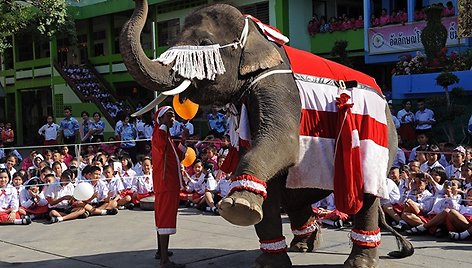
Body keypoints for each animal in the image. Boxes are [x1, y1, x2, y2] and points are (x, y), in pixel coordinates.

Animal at [119, 1, 412, 266]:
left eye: (204, 42)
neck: (260, 38)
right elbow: (266, 172)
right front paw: (267, 257)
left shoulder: (278, 87)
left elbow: (283, 142)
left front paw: (237, 207)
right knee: (296, 196)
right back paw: (303, 245)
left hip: (381, 141)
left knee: (367, 198)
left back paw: (358, 262)